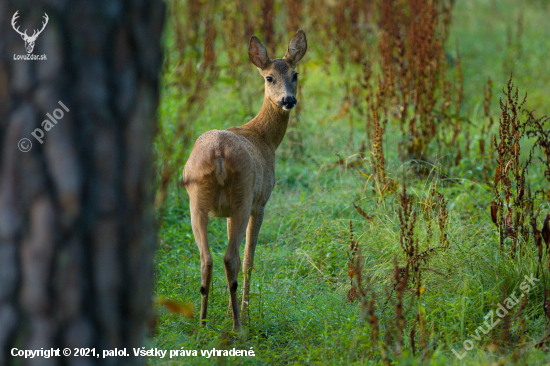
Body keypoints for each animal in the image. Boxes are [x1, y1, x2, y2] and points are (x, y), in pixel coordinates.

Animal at [184, 30, 306, 330]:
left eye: (295, 74)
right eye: (269, 77)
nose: (288, 100)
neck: (263, 136)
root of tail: (218, 154)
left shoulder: (226, 212)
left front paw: (229, 309)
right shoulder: (260, 202)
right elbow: (249, 258)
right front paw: (242, 310)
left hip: (197, 202)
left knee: (207, 258)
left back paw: (203, 322)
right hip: (243, 196)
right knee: (231, 258)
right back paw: (239, 325)